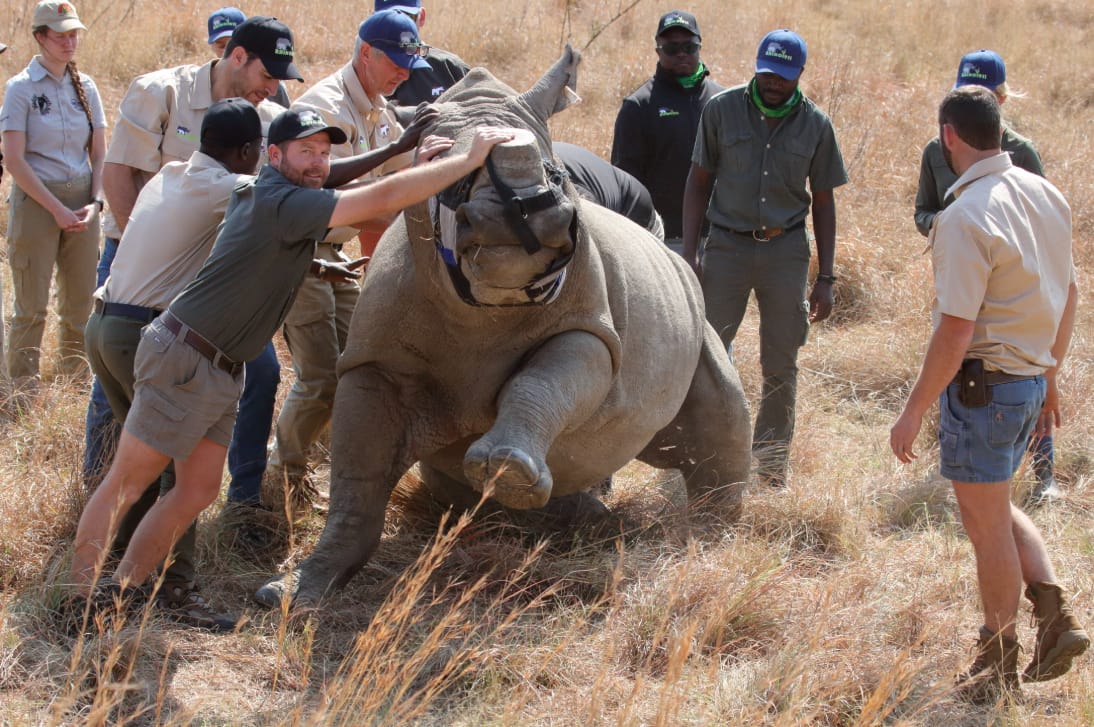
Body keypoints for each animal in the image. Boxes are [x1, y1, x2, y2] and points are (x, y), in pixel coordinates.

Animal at [255, 46, 752, 609]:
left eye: (555, 174)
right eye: (438, 168)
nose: (521, 215)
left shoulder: (591, 330)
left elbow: (546, 379)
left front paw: (507, 467)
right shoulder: (374, 360)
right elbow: (357, 478)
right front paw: (295, 592)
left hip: (689, 297)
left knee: (722, 404)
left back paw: (712, 543)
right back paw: (579, 517)